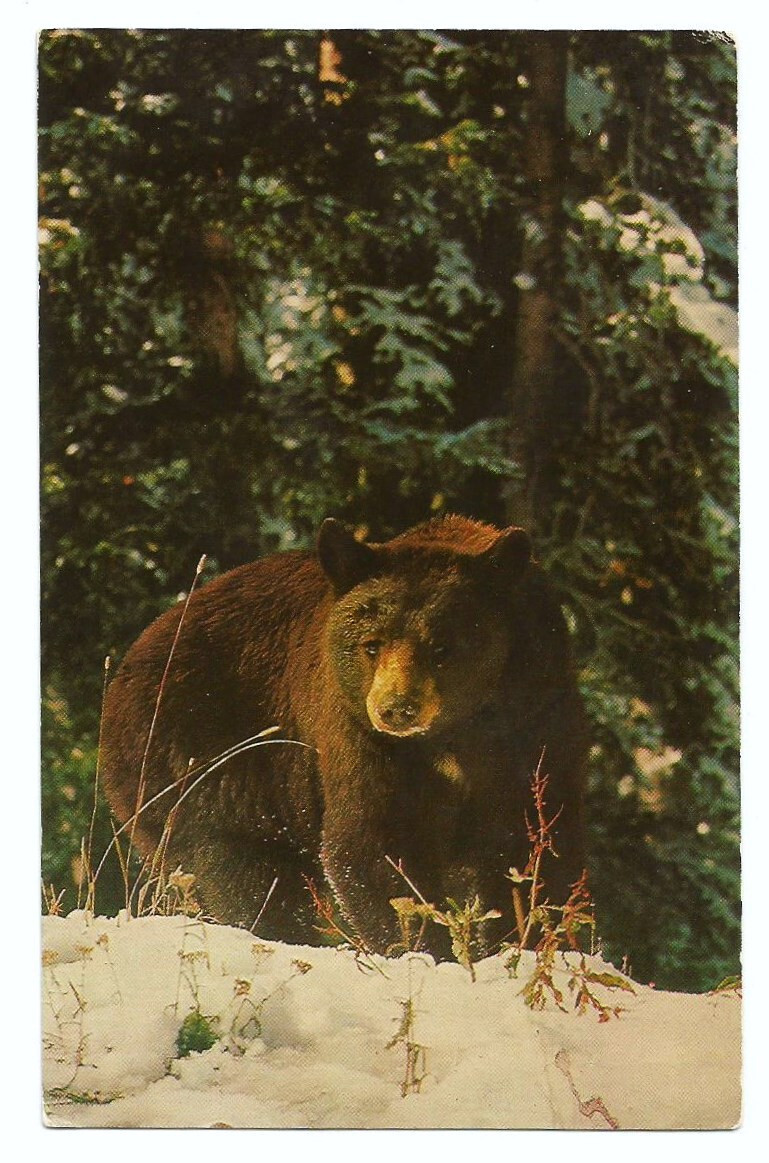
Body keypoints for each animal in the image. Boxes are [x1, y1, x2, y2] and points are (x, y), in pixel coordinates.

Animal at [100, 515, 586, 957]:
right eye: (372, 644)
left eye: (442, 647)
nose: (396, 708)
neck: (452, 732)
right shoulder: (355, 730)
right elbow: (372, 838)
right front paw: (419, 946)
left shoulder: (536, 714)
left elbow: (526, 835)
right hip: (199, 761)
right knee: (237, 870)